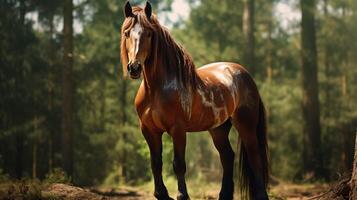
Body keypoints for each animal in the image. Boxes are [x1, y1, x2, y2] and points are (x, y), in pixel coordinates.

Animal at [119, 1, 268, 198]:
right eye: (127, 33)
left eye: (149, 33)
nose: (134, 68)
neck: (157, 89)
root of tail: (245, 75)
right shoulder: (149, 130)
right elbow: (156, 163)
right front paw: (161, 194)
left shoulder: (178, 129)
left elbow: (178, 164)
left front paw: (182, 195)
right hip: (218, 129)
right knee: (227, 156)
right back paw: (223, 195)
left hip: (246, 125)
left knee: (254, 156)